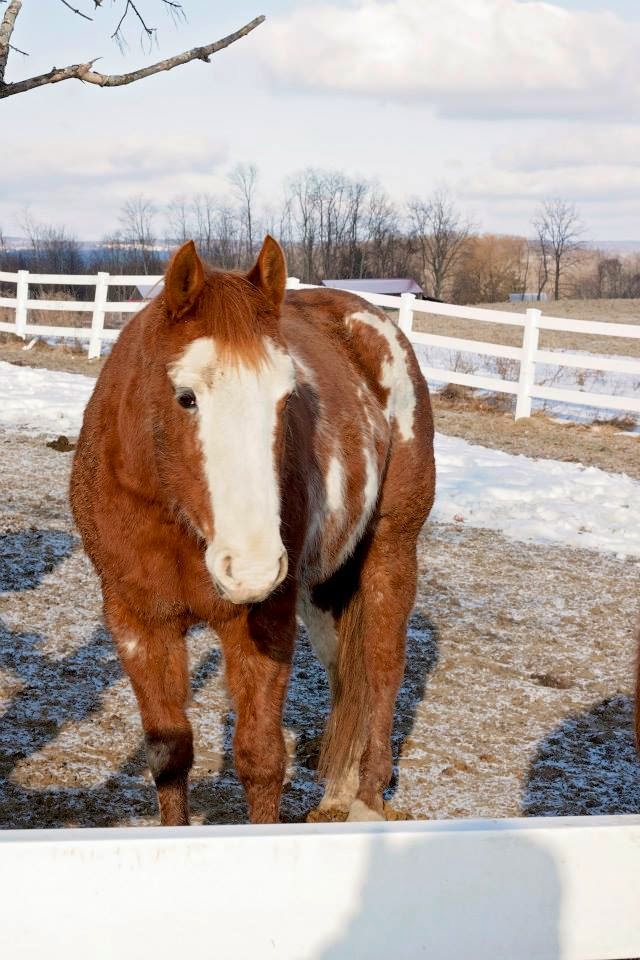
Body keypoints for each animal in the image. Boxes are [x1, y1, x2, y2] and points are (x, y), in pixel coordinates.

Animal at [70, 236, 435, 826]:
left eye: (287, 399)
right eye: (186, 397)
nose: (253, 569)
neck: (175, 518)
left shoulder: (261, 622)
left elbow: (261, 760)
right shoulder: (138, 623)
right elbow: (169, 751)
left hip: (391, 553)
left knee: (382, 669)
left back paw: (365, 801)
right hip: (325, 587)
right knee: (347, 678)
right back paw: (337, 796)